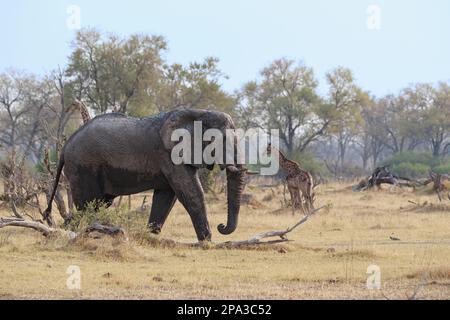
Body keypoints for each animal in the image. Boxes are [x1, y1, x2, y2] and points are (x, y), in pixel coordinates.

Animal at [44, 107, 250, 240]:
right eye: (219, 140)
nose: (221, 226)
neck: (200, 113)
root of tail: (65, 146)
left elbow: (167, 197)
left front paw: (151, 236)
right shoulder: (169, 154)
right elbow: (191, 192)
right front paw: (207, 241)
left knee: (98, 203)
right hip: (83, 166)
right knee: (88, 204)